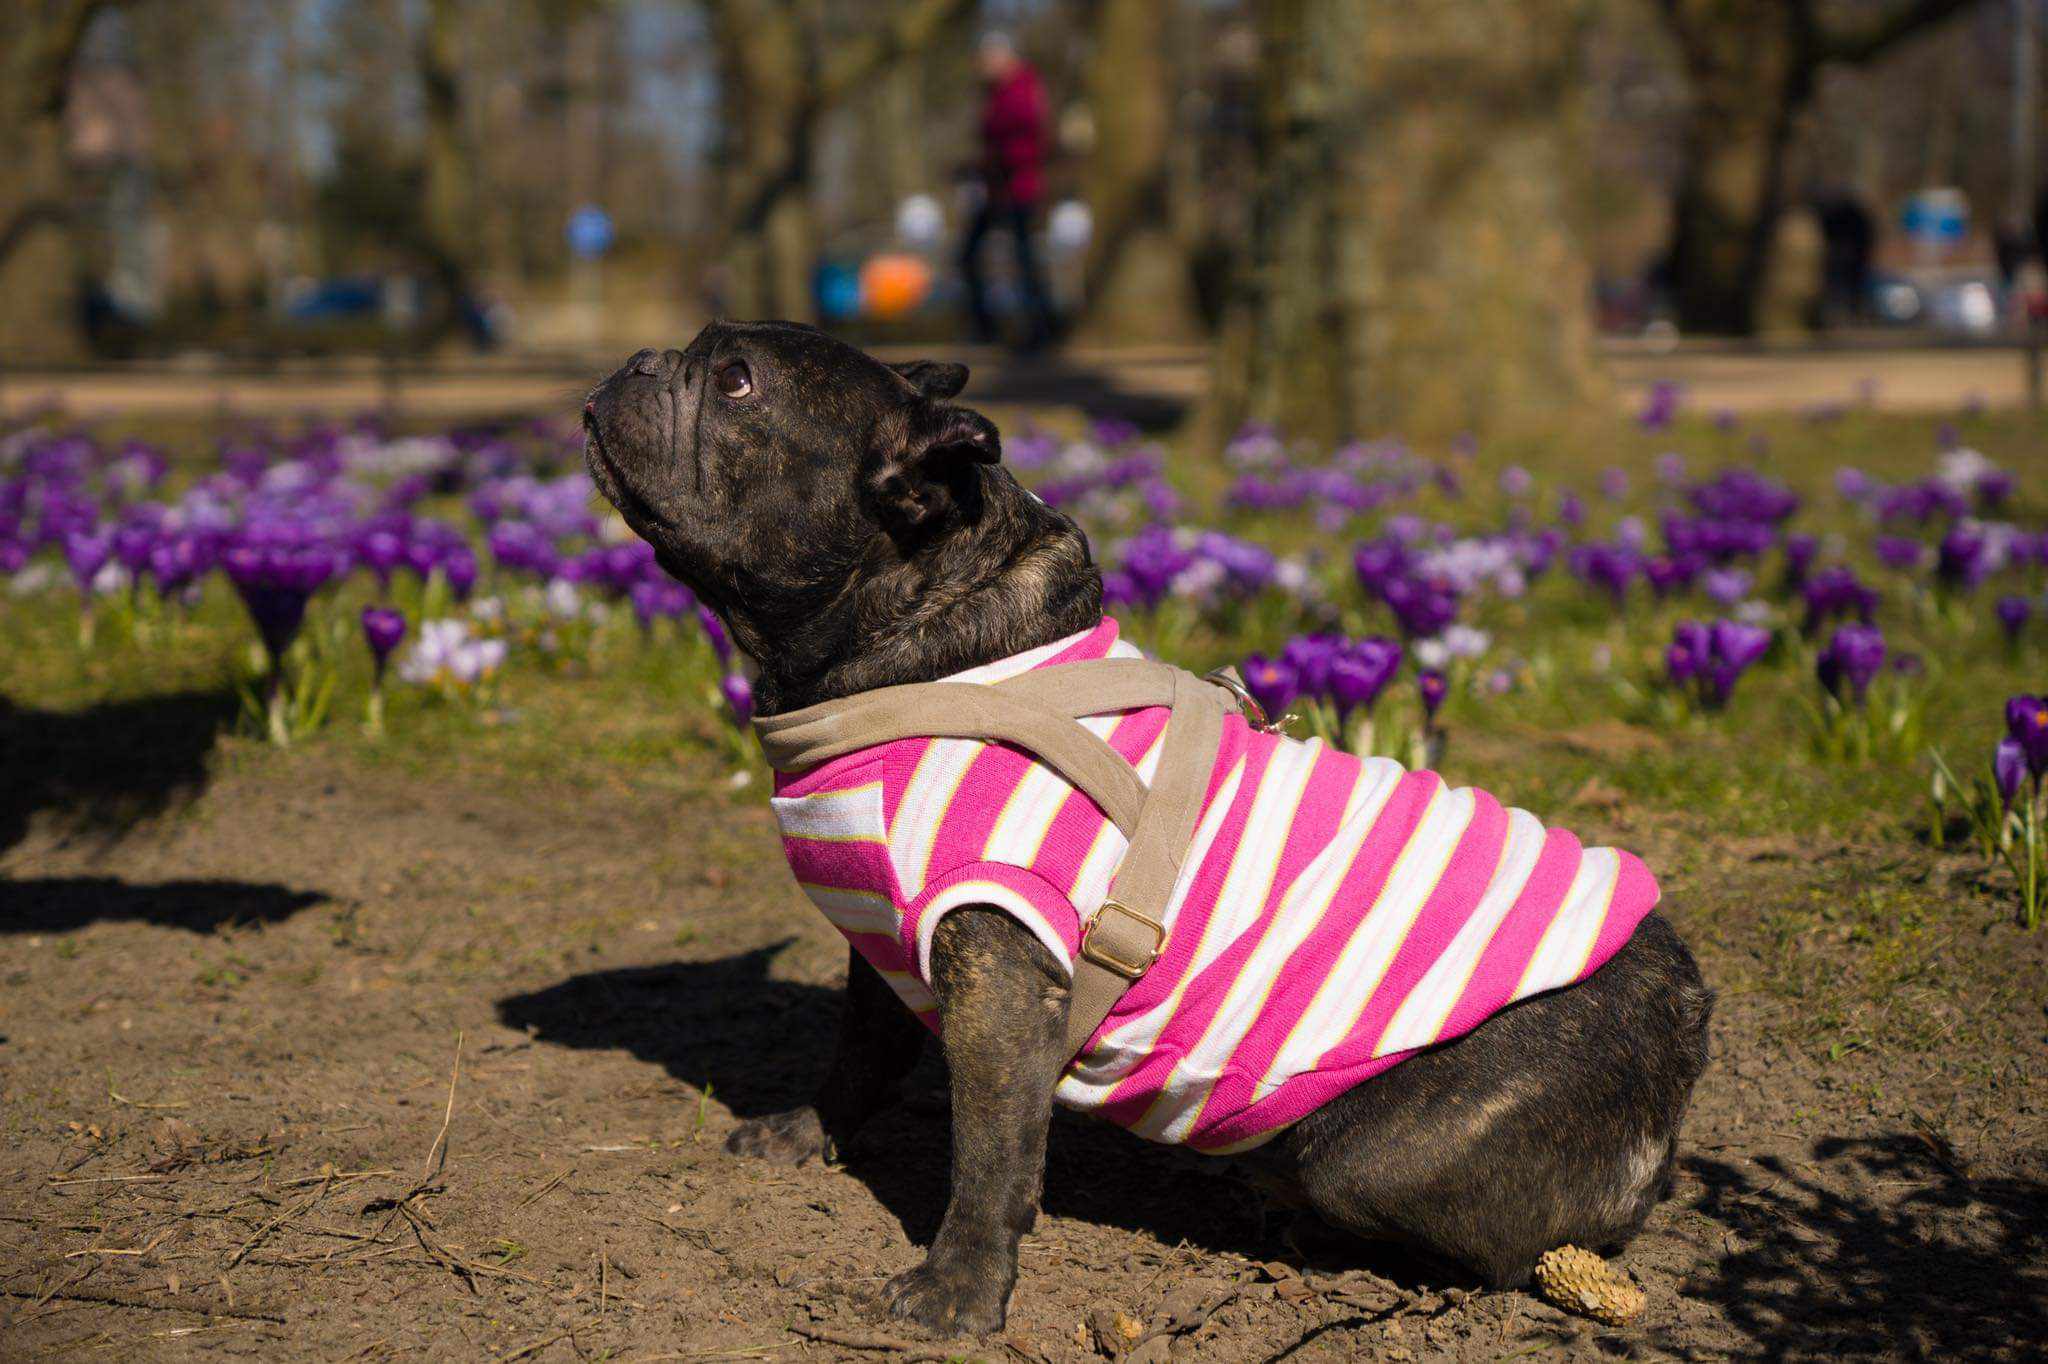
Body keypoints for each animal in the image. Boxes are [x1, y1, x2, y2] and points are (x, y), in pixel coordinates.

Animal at [583, 322, 1713, 1336]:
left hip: (1384, 1153)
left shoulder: (999, 965)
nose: (638, 359)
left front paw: (957, 1294)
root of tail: (1684, 1011)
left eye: (735, 380)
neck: (929, 653)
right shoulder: (888, 941)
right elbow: (857, 1053)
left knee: (1505, 1240)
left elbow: (989, 1150)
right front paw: (805, 1134)